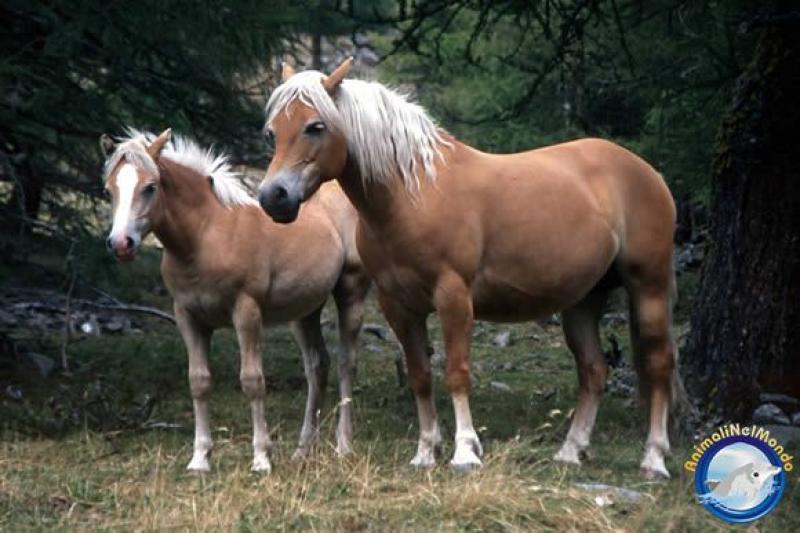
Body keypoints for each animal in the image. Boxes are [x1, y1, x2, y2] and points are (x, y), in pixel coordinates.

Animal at [100, 128, 370, 472]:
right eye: (109, 190)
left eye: (150, 187)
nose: (121, 244)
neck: (206, 235)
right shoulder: (188, 317)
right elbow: (199, 382)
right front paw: (200, 458)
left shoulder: (246, 312)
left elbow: (252, 381)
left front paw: (261, 458)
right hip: (304, 310)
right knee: (317, 365)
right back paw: (303, 449)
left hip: (351, 291)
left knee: (347, 363)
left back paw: (343, 445)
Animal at [257, 59, 679, 479]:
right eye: (273, 131)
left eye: (315, 126)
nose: (273, 197)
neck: (413, 195)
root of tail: (648, 171)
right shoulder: (398, 305)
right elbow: (419, 376)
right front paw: (426, 451)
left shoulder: (453, 296)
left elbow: (457, 373)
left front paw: (464, 452)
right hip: (583, 300)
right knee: (593, 370)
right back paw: (571, 450)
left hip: (650, 287)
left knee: (659, 365)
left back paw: (654, 459)